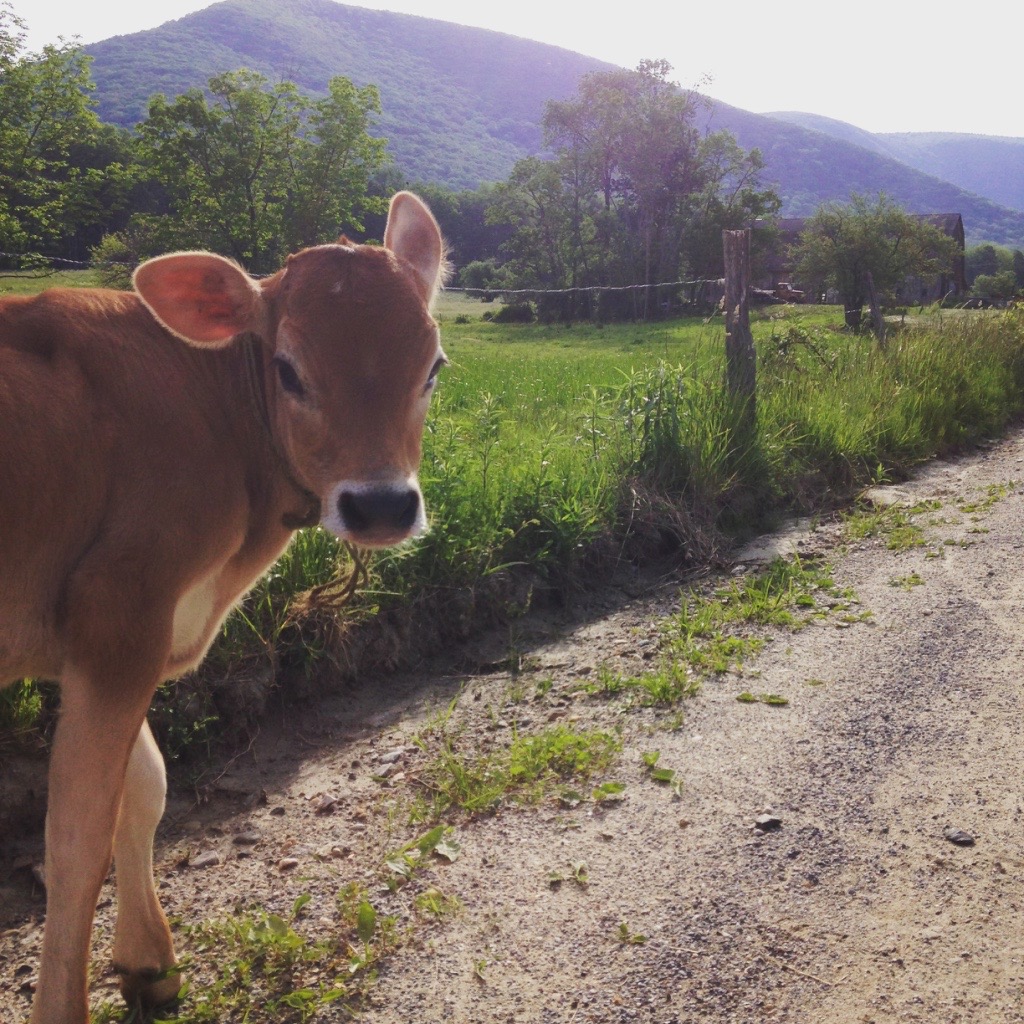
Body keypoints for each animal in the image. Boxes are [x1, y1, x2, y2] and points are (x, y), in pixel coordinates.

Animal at [1, 190, 448, 1015]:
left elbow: (144, 788)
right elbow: (75, 841)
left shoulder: (107, 641)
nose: (380, 506)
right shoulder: (121, 616)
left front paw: (148, 961)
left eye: (433, 367)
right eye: (288, 370)